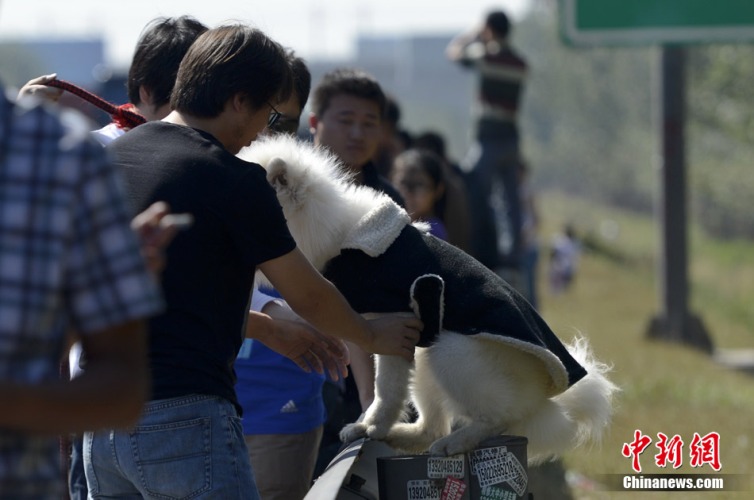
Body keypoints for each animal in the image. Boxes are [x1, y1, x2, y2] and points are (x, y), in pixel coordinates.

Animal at [241, 135, 616, 462]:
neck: (335, 233)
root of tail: (542, 400)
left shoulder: (395, 325)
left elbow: (386, 388)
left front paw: (374, 426)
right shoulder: (381, 329)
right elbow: (381, 387)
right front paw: (368, 427)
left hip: (449, 351)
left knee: (497, 417)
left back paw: (456, 442)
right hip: (426, 356)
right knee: (433, 427)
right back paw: (407, 437)